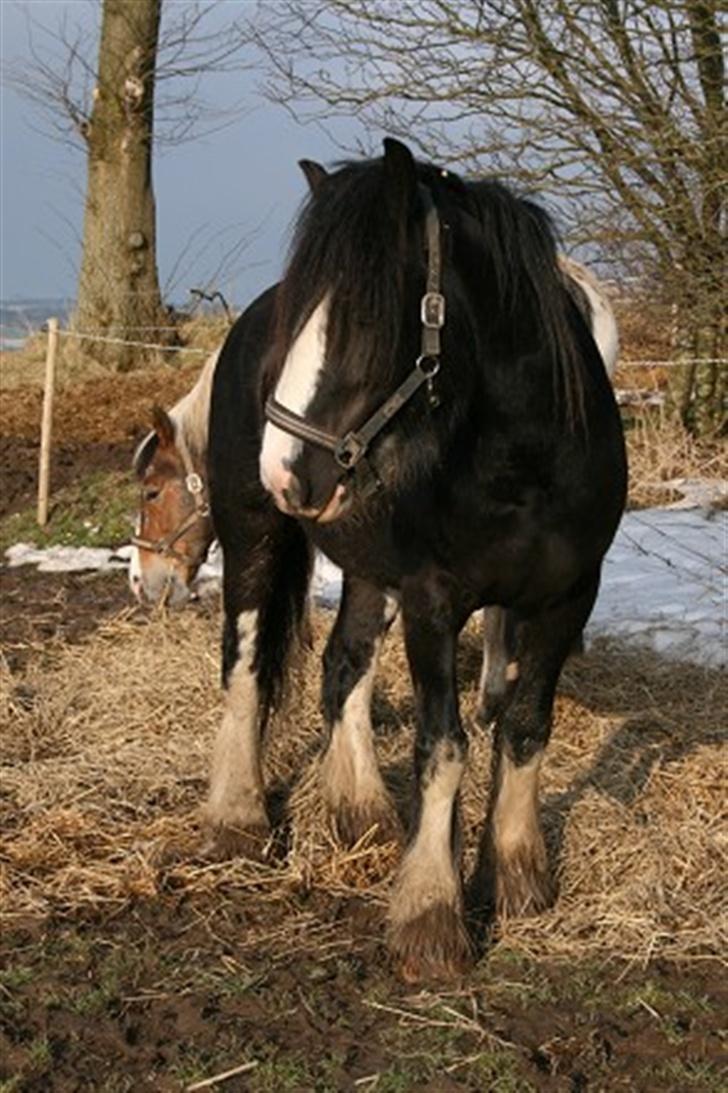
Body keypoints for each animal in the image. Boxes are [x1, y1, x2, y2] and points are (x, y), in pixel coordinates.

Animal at [202, 136, 625, 983]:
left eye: (367, 311)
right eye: (305, 311)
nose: (285, 469)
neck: (523, 465)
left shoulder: (567, 596)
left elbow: (524, 726)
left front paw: (517, 875)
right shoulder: (436, 600)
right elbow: (444, 745)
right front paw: (430, 914)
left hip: (367, 567)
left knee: (343, 664)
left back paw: (361, 811)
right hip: (252, 535)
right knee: (245, 663)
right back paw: (236, 816)